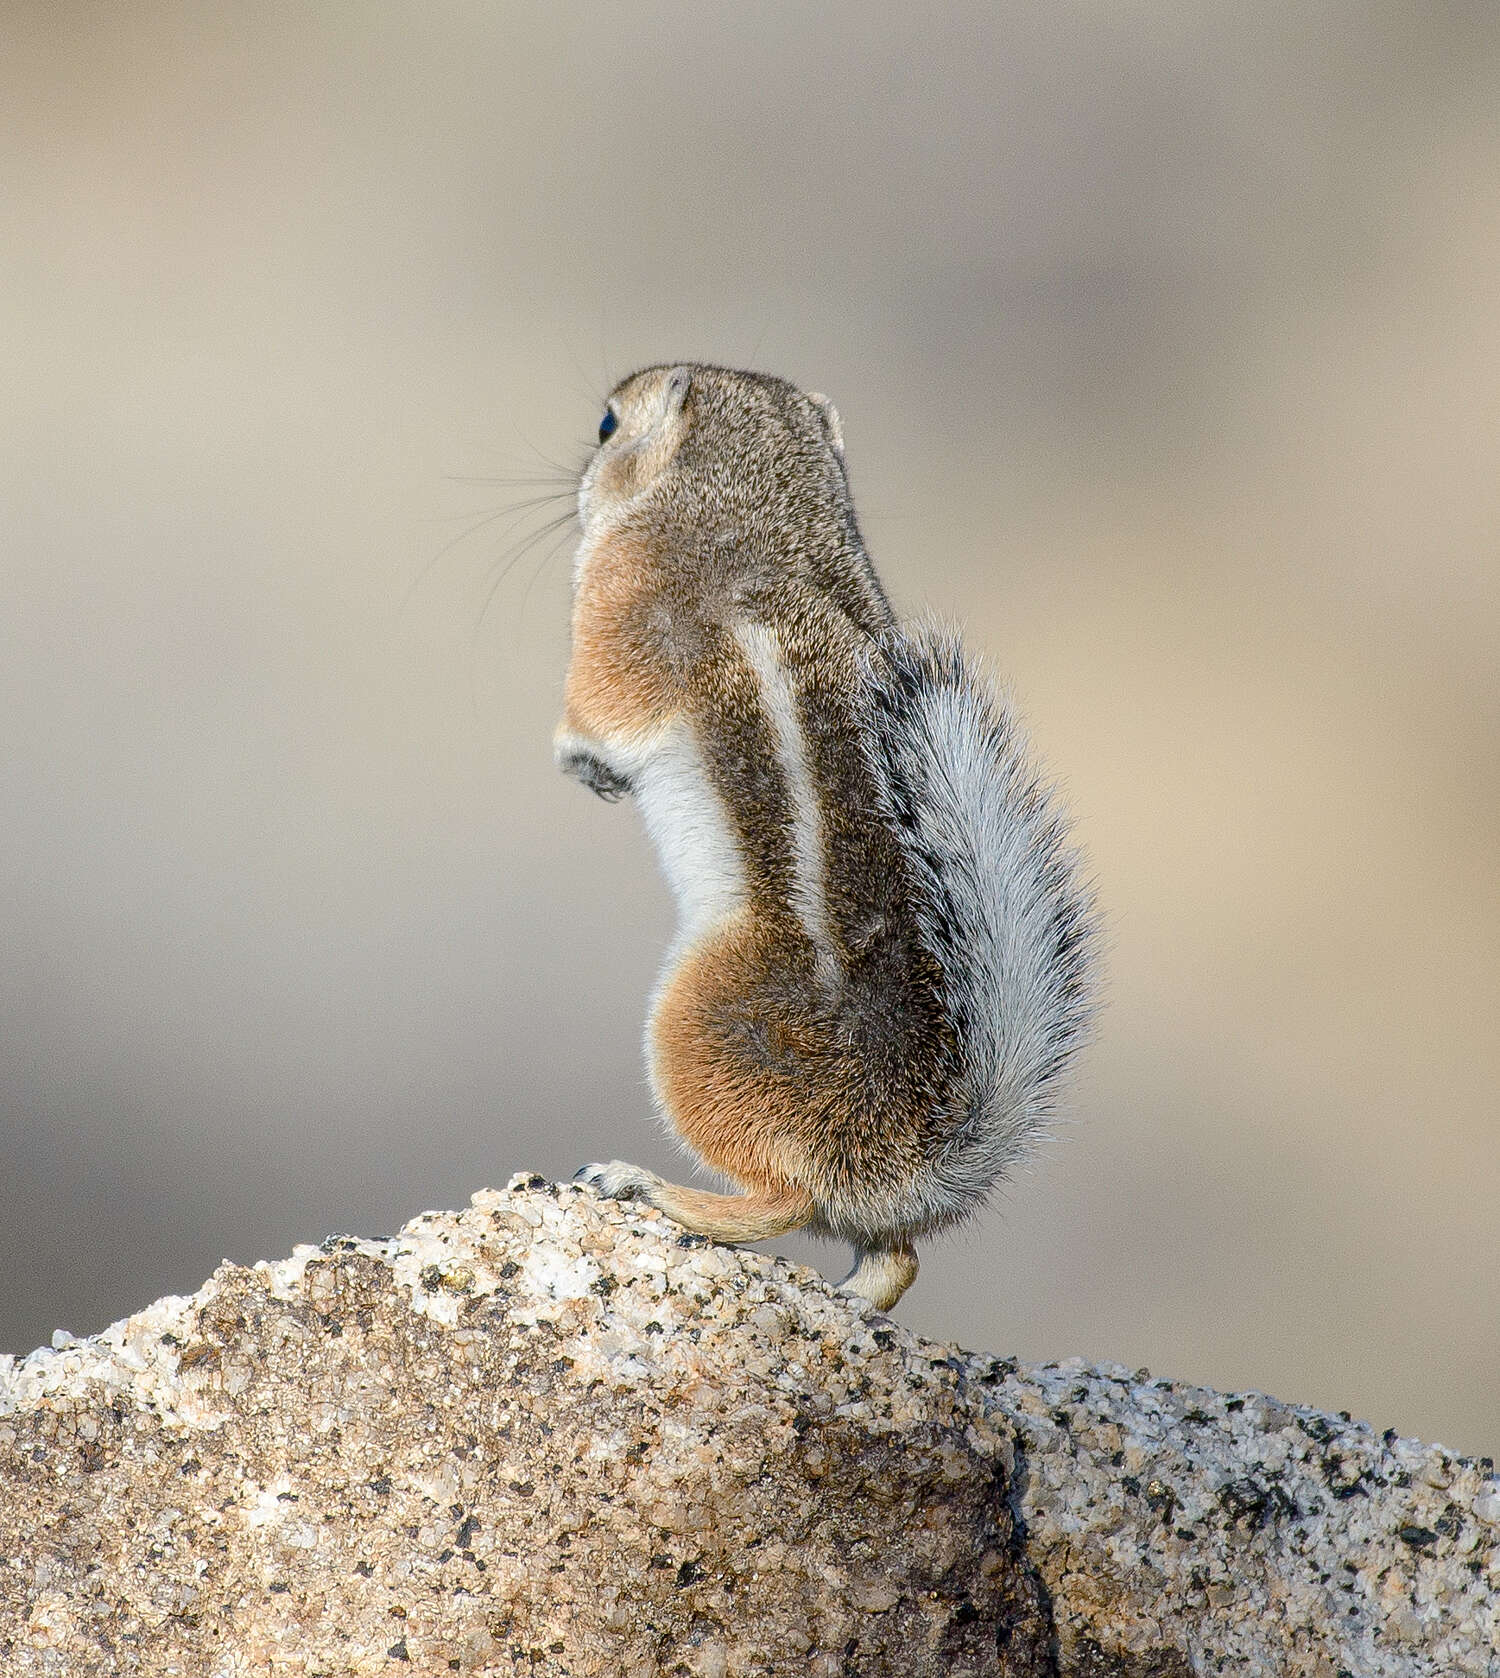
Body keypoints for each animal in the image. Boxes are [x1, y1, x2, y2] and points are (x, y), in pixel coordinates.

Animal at [557, 364, 1100, 1308]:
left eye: (606, 426)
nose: (577, 480)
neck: (759, 504)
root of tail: (909, 1159)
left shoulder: (622, 616)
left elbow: (598, 709)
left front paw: (577, 758)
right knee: (896, 1256)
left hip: (699, 1026)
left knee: (783, 1197)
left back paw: (641, 1186)